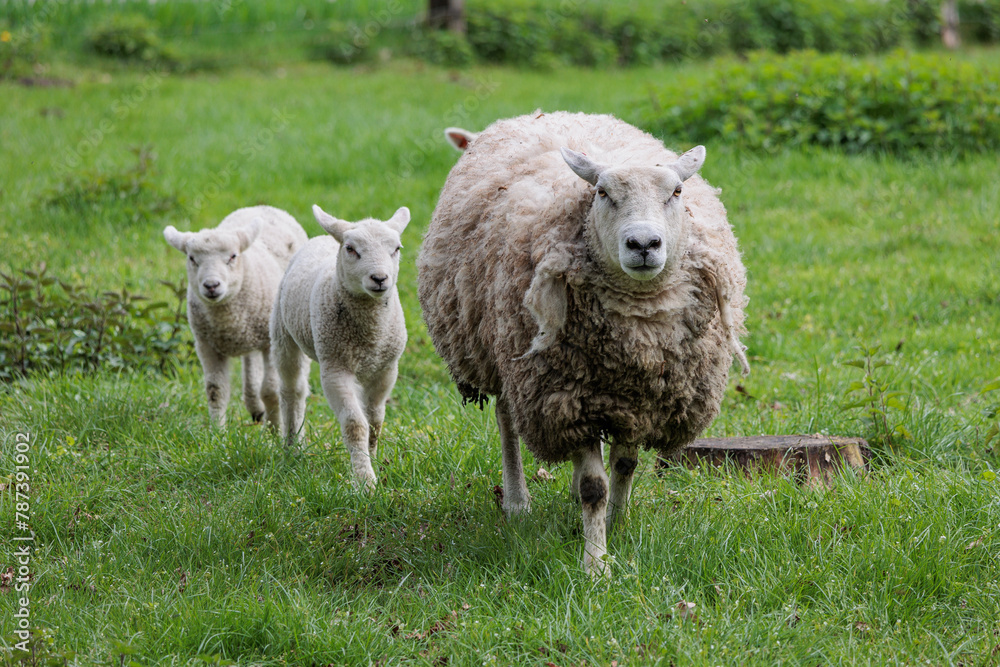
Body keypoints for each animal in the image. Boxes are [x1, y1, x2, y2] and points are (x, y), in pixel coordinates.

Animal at [163, 205, 308, 428]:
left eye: (232, 256)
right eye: (192, 258)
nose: (211, 285)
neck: (227, 320)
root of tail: (260, 206)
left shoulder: (270, 343)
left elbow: (270, 390)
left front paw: (275, 428)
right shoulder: (206, 345)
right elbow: (215, 390)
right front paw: (217, 431)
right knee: (249, 363)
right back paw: (254, 407)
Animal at [270, 204, 410, 489]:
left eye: (396, 248)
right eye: (351, 249)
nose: (380, 278)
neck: (371, 332)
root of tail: (324, 237)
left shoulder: (386, 369)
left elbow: (375, 421)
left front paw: (373, 459)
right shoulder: (335, 369)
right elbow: (356, 425)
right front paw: (365, 481)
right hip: (283, 335)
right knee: (291, 391)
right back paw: (291, 446)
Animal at [417, 111, 748, 575]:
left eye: (676, 192)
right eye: (602, 193)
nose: (643, 244)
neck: (639, 329)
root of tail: (541, 113)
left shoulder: (640, 398)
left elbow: (624, 465)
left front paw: (618, 527)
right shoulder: (567, 398)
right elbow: (596, 485)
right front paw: (597, 564)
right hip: (507, 358)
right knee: (507, 421)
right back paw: (517, 501)